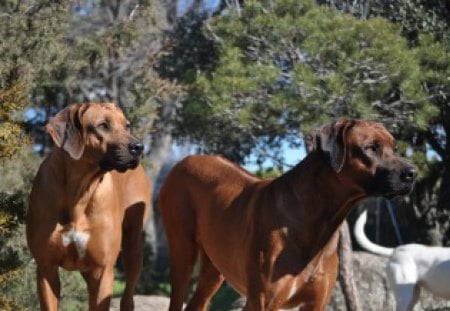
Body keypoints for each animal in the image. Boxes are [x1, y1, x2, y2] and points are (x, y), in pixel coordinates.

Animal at [25, 103, 151, 310]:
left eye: (127, 126)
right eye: (103, 125)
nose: (139, 147)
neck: (79, 190)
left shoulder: (103, 270)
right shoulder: (46, 267)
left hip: (133, 245)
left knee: (128, 296)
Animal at [160, 118, 416, 310]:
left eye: (395, 148)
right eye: (371, 148)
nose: (412, 173)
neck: (319, 221)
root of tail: (185, 160)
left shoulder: (316, 303)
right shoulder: (262, 301)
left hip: (214, 267)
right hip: (182, 252)